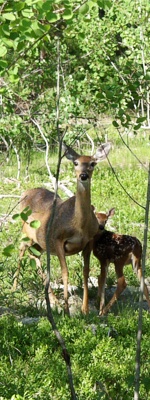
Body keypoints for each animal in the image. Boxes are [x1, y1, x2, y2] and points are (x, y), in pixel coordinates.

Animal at [13, 142, 111, 314]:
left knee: (35, 256)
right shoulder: (58, 239)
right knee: (21, 250)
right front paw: (67, 310)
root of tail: (25, 192)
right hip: (26, 233)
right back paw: (14, 289)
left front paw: (85, 309)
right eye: (76, 163)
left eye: (92, 163)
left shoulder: (89, 242)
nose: (83, 175)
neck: (78, 225)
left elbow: (85, 272)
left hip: (40, 243)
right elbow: (65, 272)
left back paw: (53, 299)